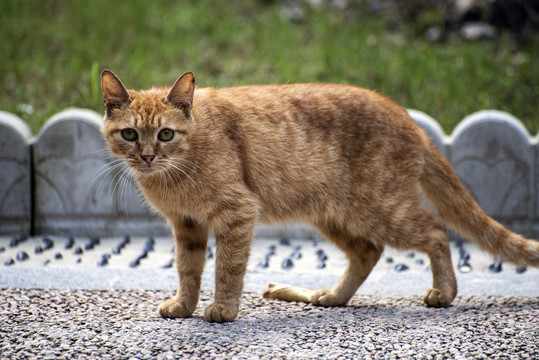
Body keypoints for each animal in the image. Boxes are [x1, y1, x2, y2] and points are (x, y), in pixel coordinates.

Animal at [101, 69, 539, 322]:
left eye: (165, 134)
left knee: (435, 230)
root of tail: (407, 117)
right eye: (130, 134)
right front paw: (184, 306)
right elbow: (188, 270)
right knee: (369, 252)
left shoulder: (237, 213)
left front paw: (223, 309)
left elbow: (227, 268)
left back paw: (444, 292)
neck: (176, 172)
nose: (146, 156)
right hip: (335, 217)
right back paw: (332, 296)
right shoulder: (187, 225)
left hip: (381, 210)